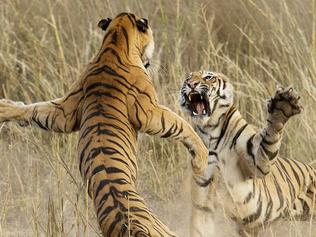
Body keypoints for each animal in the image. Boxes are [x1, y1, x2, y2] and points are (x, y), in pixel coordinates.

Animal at [0, 13, 210, 236]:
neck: (114, 42)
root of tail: (133, 229)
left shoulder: (65, 112)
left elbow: (37, 110)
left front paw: (4, 108)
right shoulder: (149, 112)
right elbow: (180, 124)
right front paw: (201, 158)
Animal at [180, 71, 316, 237]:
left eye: (208, 77)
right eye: (188, 78)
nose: (191, 84)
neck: (210, 130)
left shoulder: (257, 160)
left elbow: (271, 133)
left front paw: (283, 104)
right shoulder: (203, 200)